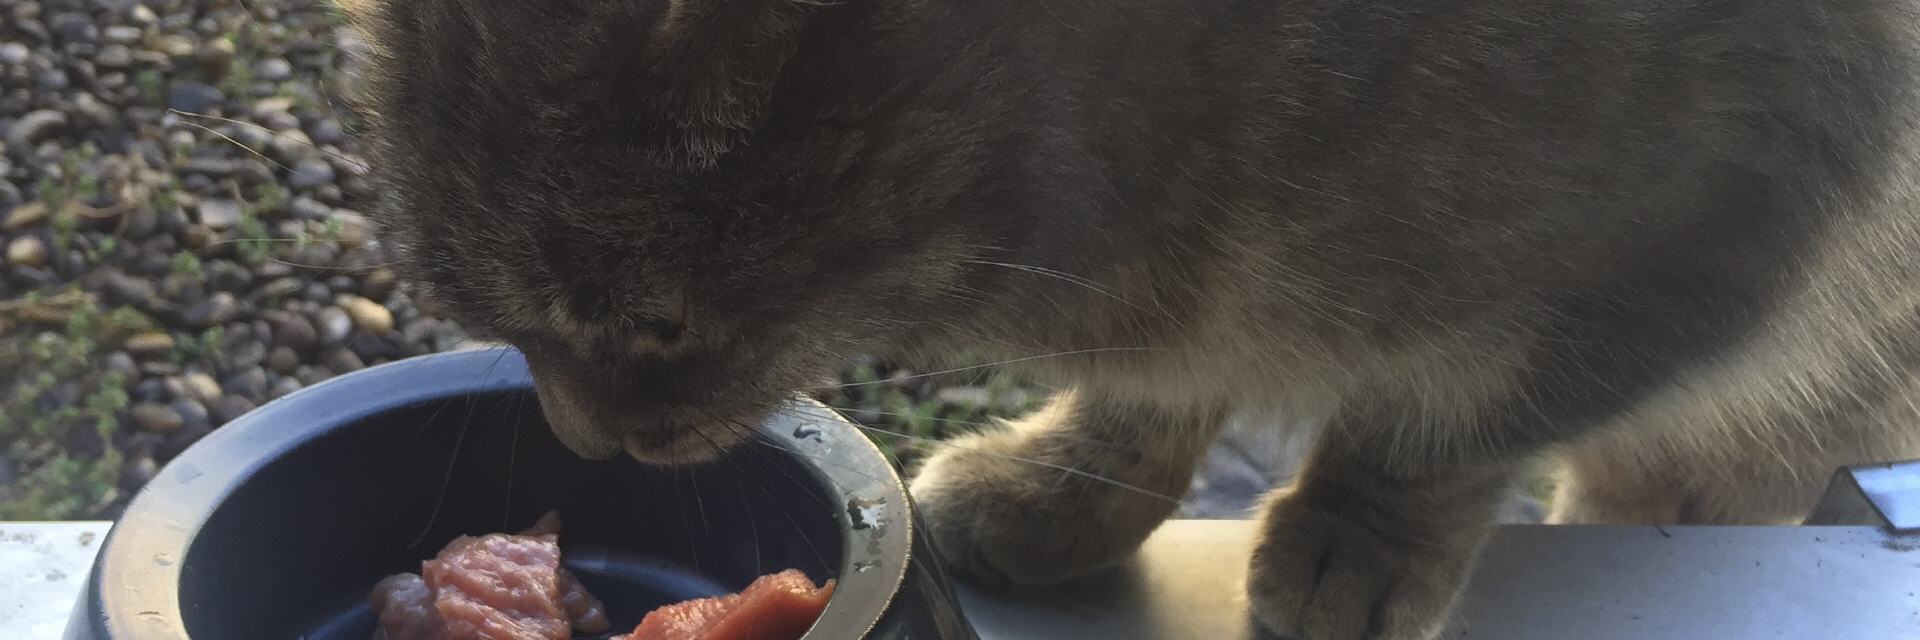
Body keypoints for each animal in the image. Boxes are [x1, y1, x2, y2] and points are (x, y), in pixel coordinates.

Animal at [338, 0, 1920, 637]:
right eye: (491, 311)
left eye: (653, 325)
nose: (580, 435)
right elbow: (1157, 383)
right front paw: (1071, 487)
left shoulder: (1725, 217)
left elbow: (1441, 432)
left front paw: (1360, 531)